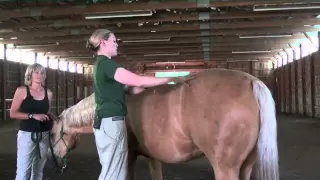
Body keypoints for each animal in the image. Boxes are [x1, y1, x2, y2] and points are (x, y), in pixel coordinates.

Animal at [47, 68, 278, 180]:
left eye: (51, 134)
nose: (55, 161)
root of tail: (251, 82)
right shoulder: (152, 157)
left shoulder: (128, 156)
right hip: (247, 165)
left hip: (225, 168)